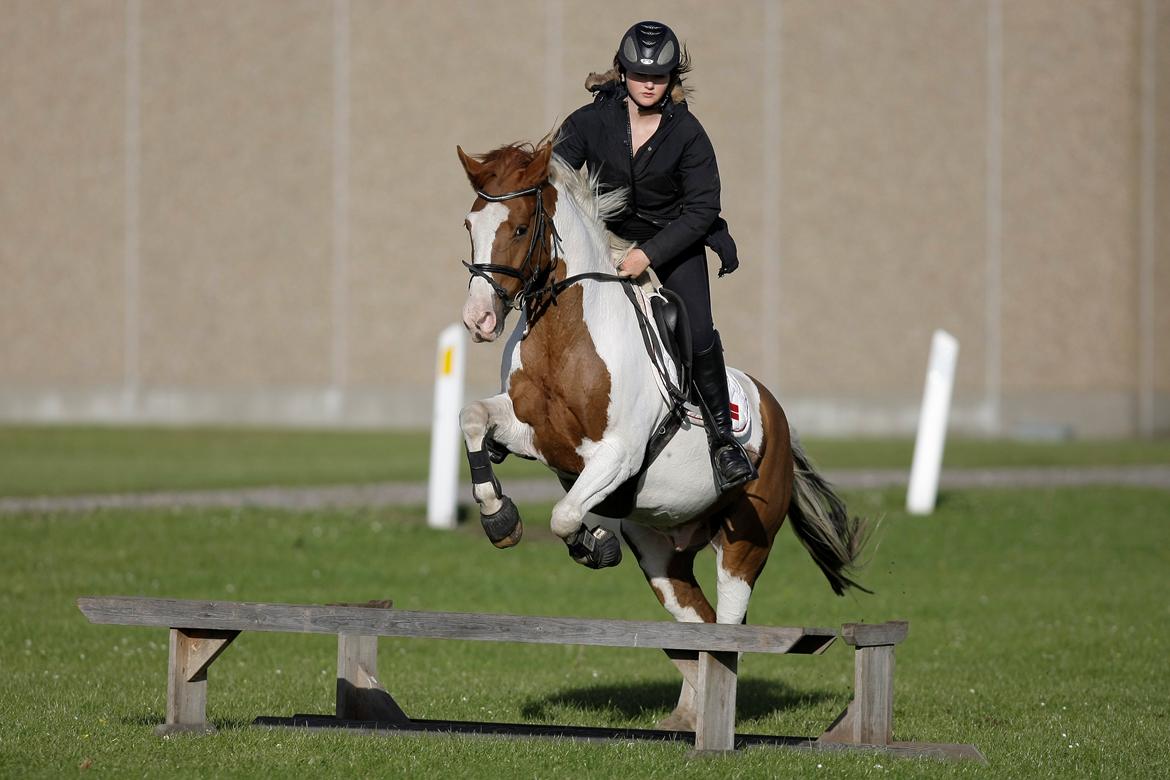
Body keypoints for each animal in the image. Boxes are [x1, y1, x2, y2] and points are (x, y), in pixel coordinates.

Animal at [454, 139, 869, 730]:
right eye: (471, 224)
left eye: (518, 227)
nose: (479, 320)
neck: (565, 336)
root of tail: (777, 412)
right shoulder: (533, 434)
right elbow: (473, 419)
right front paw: (500, 519)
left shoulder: (615, 456)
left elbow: (564, 515)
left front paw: (594, 543)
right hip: (663, 556)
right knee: (697, 623)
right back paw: (687, 717)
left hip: (744, 544)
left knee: (728, 627)